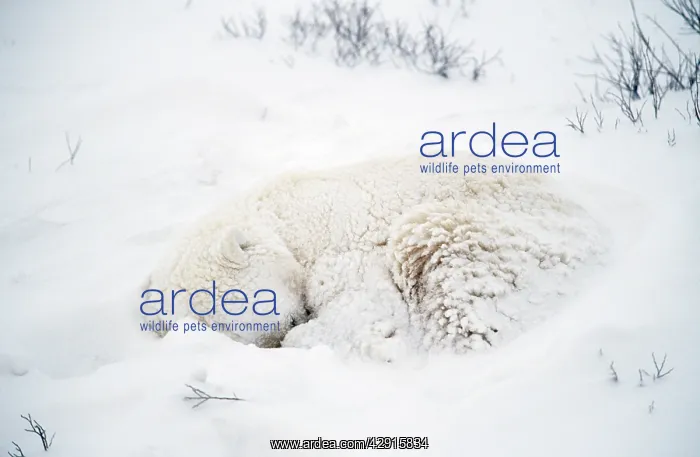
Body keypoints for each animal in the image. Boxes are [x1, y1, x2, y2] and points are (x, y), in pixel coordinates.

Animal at [141, 155, 605, 357]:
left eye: (248, 302)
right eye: (235, 335)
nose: (286, 326)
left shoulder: (339, 235)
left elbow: (363, 303)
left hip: (512, 235)